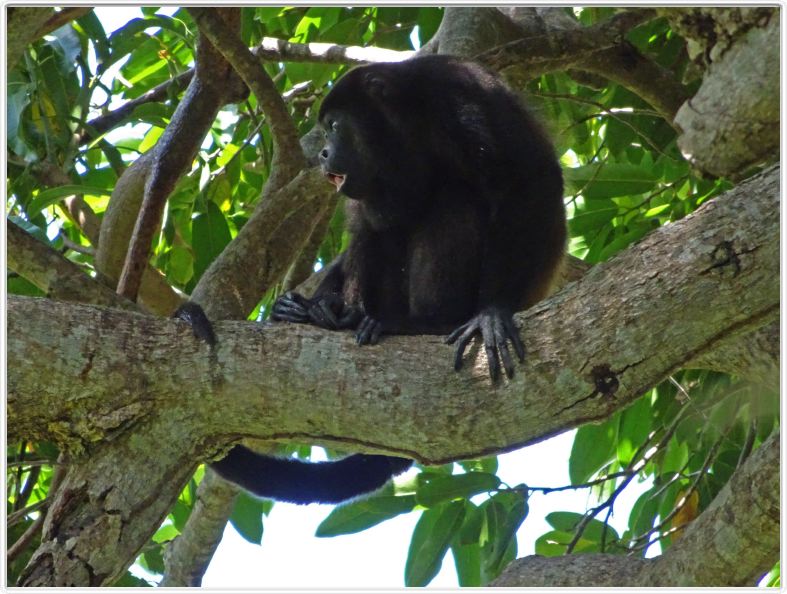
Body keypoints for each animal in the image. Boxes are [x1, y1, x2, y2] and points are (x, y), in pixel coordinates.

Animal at [200, 53, 568, 502]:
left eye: (335, 126)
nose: (323, 153)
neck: (412, 127)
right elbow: (368, 225)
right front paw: (315, 307)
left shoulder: (466, 97)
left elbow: (529, 181)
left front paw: (492, 313)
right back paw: (334, 315)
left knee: (455, 198)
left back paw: (427, 323)